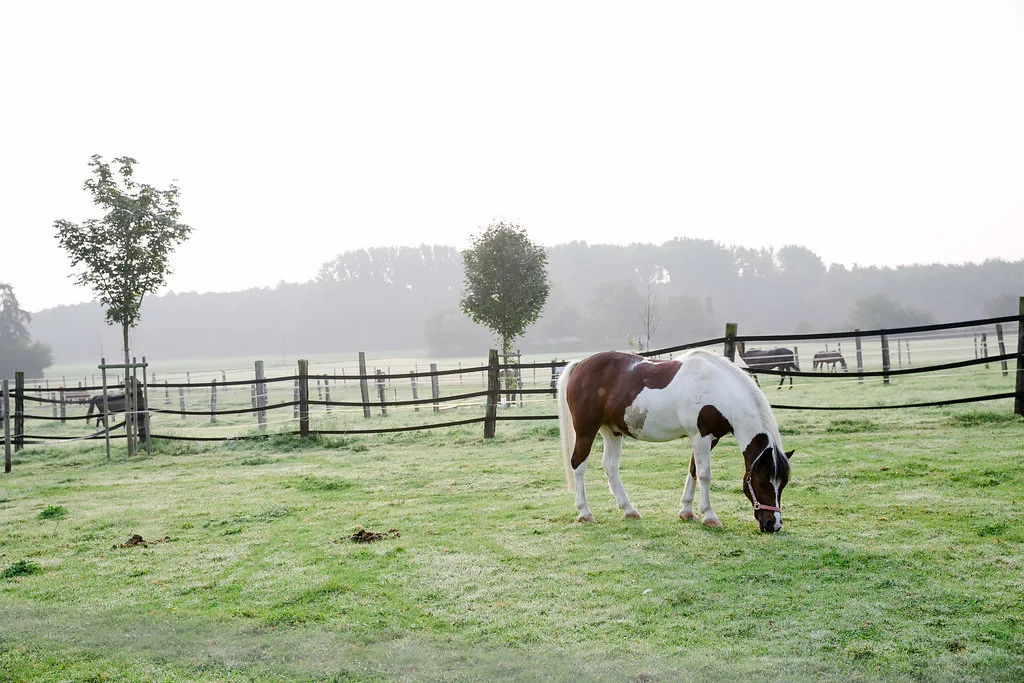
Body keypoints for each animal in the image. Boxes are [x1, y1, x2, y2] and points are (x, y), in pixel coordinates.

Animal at [557, 349, 793, 533]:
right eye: (762, 482)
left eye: (783, 484)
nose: (773, 524)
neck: (717, 388)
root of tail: (580, 364)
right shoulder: (701, 436)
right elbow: (705, 475)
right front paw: (709, 516)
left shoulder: (709, 439)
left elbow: (693, 471)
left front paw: (687, 511)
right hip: (586, 429)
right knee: (578, 464)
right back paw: (585, 513)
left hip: (612, 431)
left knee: (610, 467)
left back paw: (629, 510)